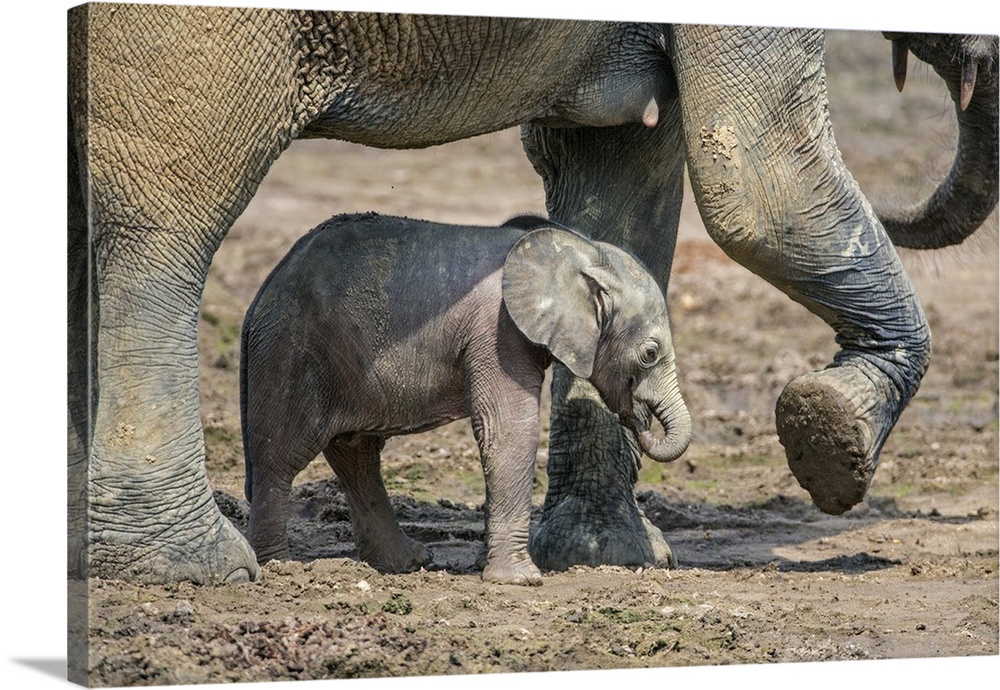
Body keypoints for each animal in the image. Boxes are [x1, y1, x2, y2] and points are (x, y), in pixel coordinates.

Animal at [241, 212, 692, 584]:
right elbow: (511, 429)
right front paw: (521, 581)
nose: (637, 416)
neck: (578, 249)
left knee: (357, 455)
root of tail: (260, 296)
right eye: (650, 354)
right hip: (291, 352)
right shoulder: (498, 332)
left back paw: (407, 563)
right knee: (279, 458)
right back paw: (278, 565)